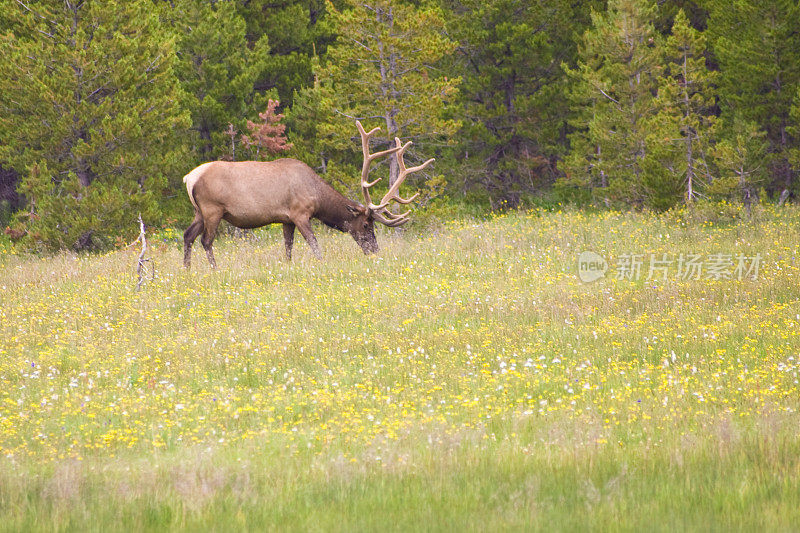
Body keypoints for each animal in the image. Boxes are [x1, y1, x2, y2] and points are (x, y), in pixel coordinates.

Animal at [183, 122, 432, 268]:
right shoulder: (300, 213)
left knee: (188, 236)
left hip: (198, 212)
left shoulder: (286, 219)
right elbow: (315, 245)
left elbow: (288, 247)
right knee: (206, 240)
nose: (374, 250)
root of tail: (189, 178)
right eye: (365, 225)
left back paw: (187, 269)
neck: (317, 196)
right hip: (213, 209)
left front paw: (288, 266)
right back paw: (214, 269)